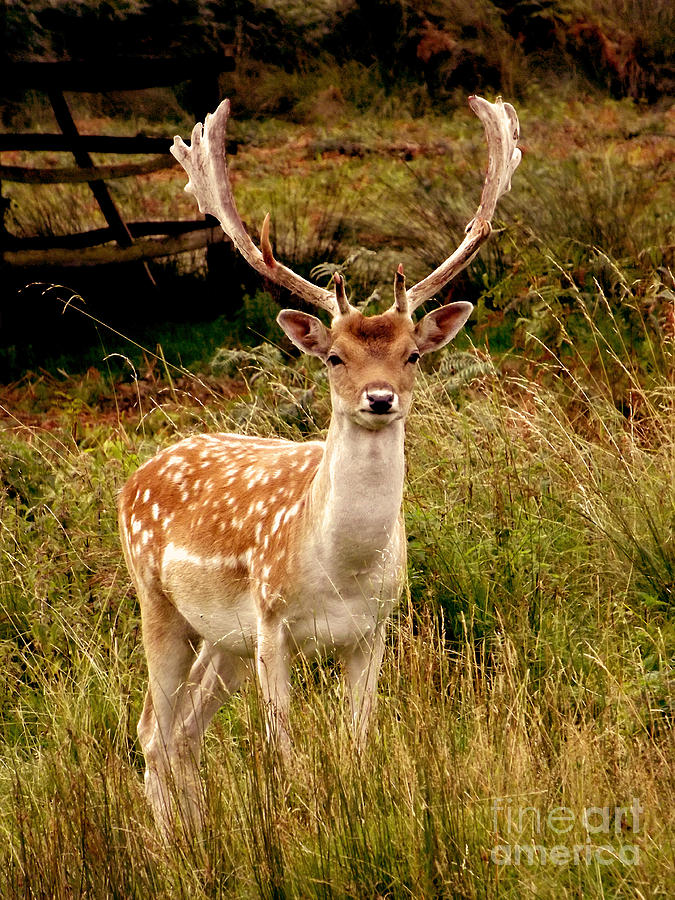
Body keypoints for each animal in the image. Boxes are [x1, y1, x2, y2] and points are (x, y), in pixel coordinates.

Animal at [119, 95, 524, 832]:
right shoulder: (272, 626)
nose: (380, 398)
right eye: (335, 356)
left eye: (412, 354)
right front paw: (297, 828)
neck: (342, 571)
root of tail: (136, 476)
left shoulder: (374, 631)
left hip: (222, 639)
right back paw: (172, 847)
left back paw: (199, 837)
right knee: (153, 732)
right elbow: (285, 751)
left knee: (183, 731)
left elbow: (358, 744)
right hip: (159, 603)